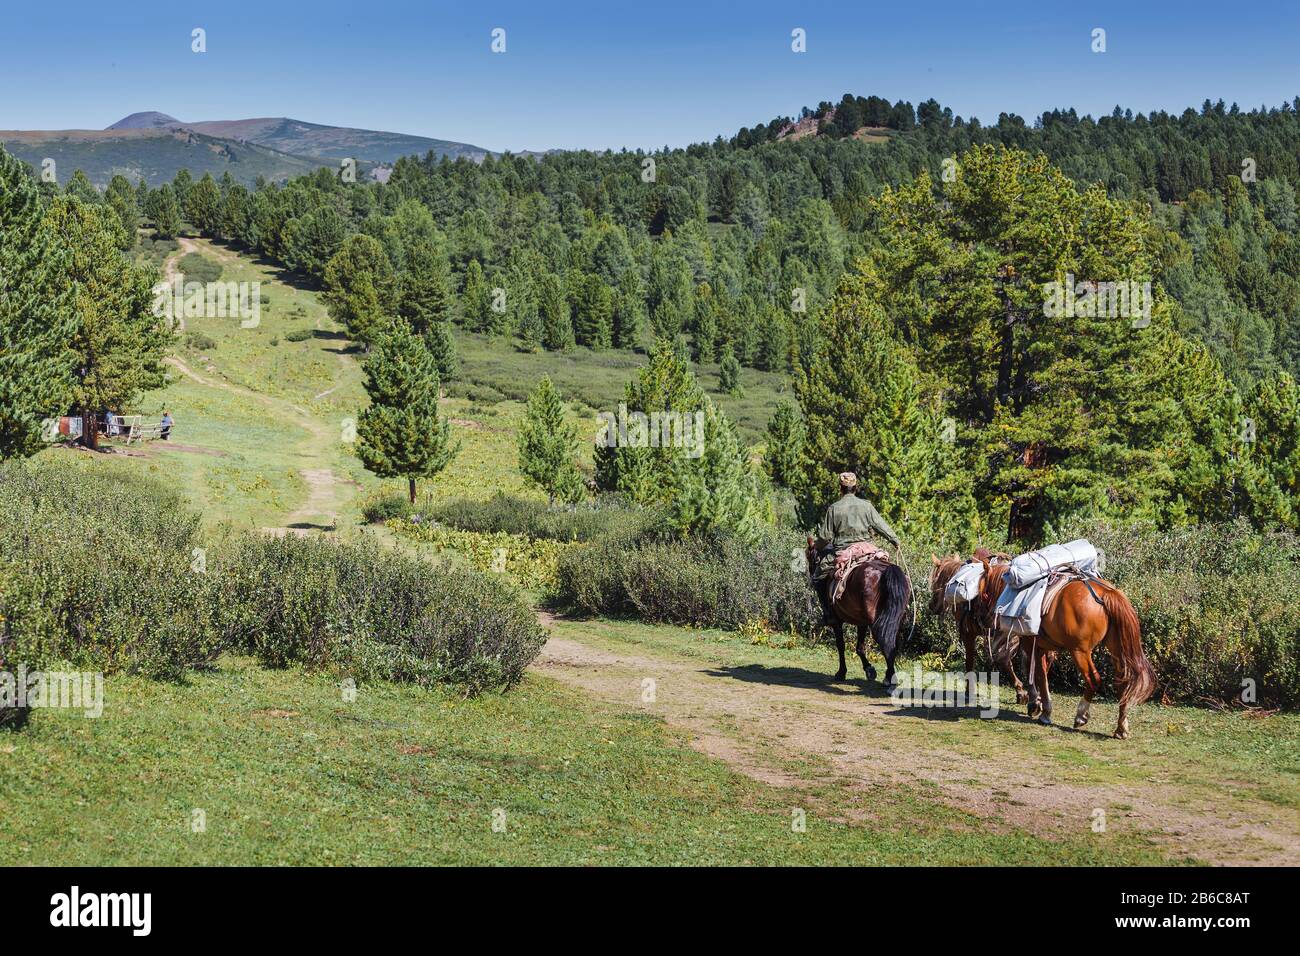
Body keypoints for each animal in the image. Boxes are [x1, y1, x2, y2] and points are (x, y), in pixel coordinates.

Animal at [805, 536, 911, 688]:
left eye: (810, 557)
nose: (811, 574)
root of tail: (886, 569)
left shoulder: (836, 621)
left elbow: (841, 645)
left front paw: (841, 672)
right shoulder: (862, 622)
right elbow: (860, 647)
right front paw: (869, 670)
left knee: (885, 642)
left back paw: (889, 678)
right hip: (896, 620)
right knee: (892, 644)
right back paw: (889, 676)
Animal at [973, 560, 1156, 739]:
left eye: (982, 591)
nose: (981, 620)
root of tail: (1105, 594)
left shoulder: (1031, 644)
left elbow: (1036, 674)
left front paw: (1039, 707)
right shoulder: (1044, 647)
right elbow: (1042, 673)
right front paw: (1040, 703)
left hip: (1080, 651)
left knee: (1093, 680)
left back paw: (1081, 716)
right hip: (1117, 648)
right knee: (1123, 682)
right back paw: (1121, 728)